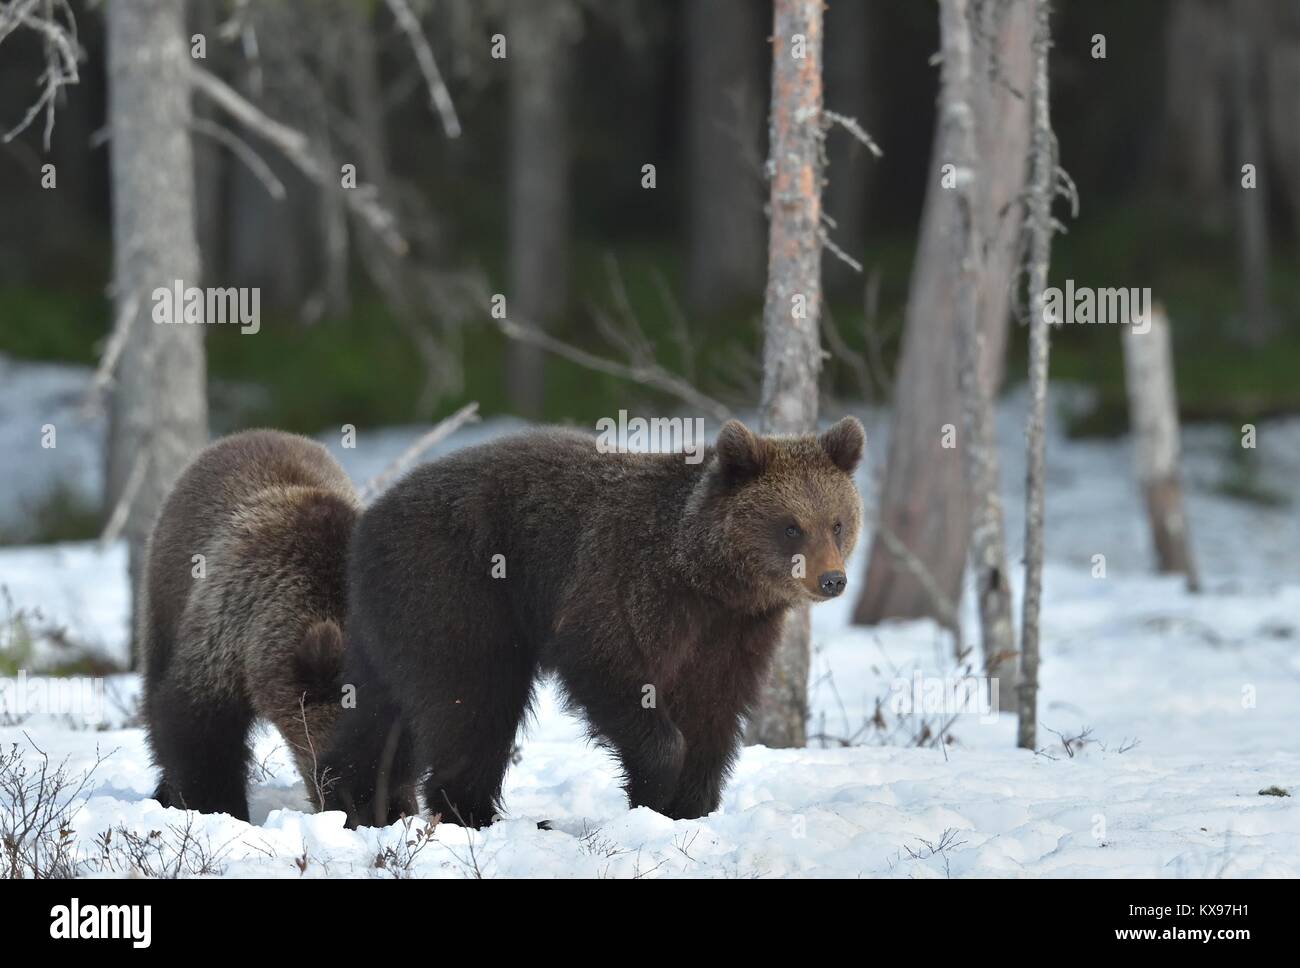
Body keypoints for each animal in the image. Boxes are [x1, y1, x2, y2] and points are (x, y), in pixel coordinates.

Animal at [140, 429, 415, 823]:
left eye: (402, 764)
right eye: (333, 767)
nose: (374, 816)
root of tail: (252, 434)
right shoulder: (227, 627)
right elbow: (196, 728)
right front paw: (216, 806)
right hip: (167, 594)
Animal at [320, 416, 865, 828]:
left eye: (838, 522)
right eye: (791, 526)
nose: (832, 579)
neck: (708, 578)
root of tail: (372, 514)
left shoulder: (734, 632)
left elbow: (715, 709)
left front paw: (691, 805)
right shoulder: (626, 586)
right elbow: (611, 671)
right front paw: (655, 789)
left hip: (387, 618)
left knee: (379, 710)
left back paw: (355, 799)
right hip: (456, 587)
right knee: (473, 699)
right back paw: (468, 812)